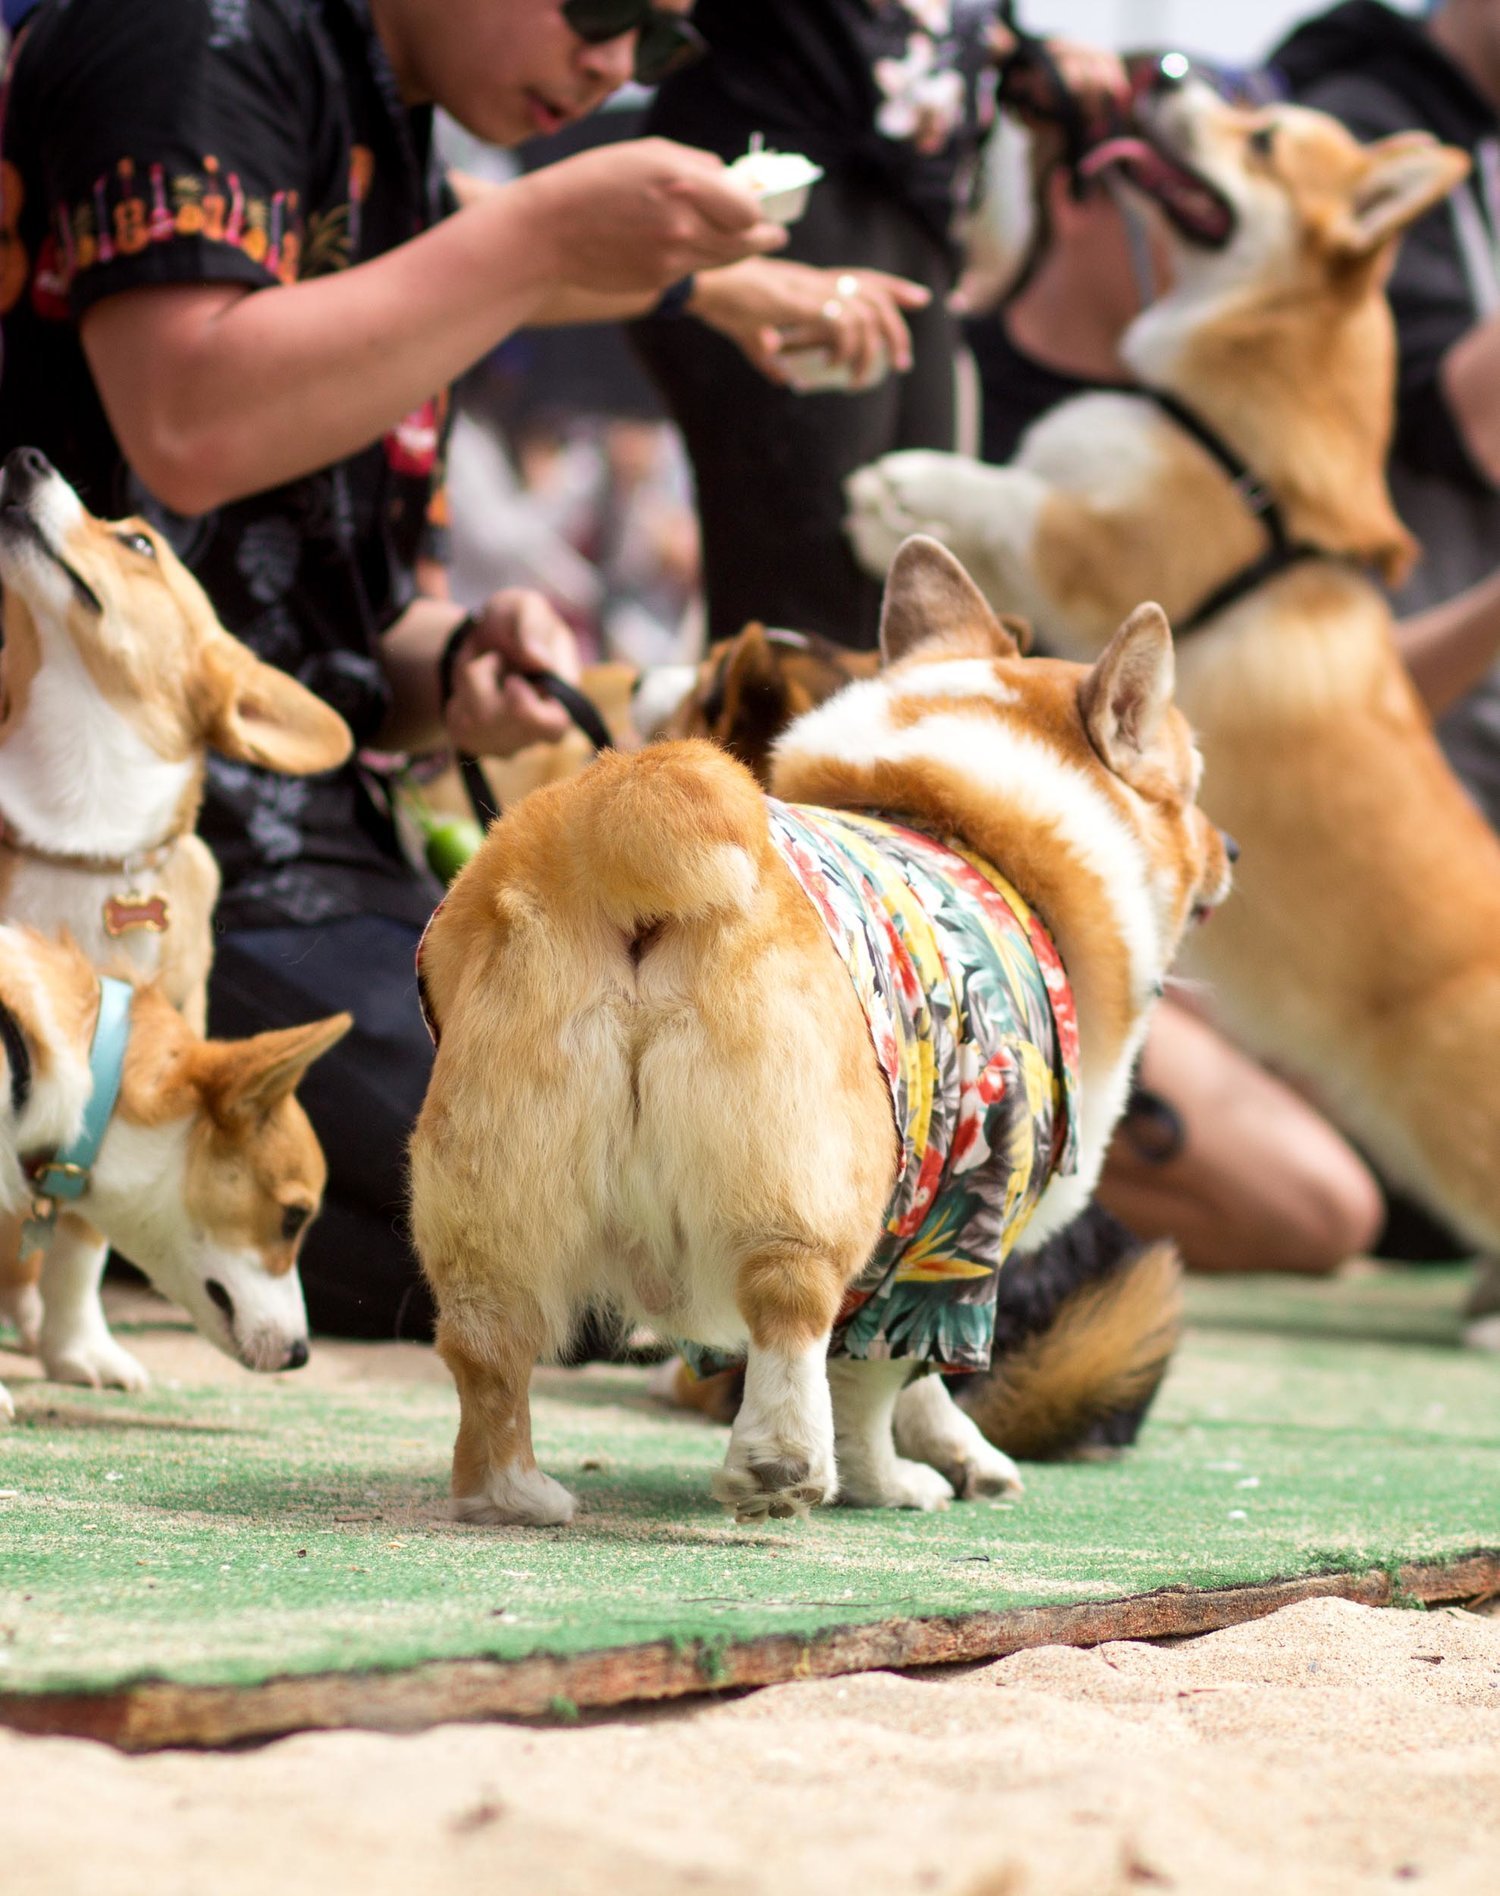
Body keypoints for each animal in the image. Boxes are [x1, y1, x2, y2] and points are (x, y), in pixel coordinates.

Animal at [411, 538, 1228, 1524]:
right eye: (1188, 787)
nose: (1231, 849)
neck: (958, 824)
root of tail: (631, 829)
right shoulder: (946, 1235)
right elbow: (883, 1381)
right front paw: (898, 1481)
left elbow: (921, 1385)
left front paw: (960, 1454)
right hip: (802, 1178)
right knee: (789, 1306)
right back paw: (782, 1470)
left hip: (495, 1191)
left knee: (487, 1343)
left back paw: (514, 1495)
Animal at [845, 89, 1500, 1274]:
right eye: (1250, 110)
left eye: (1262, 137)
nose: (1162, 75)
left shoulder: (1106, 544)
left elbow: (1014, 497)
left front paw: (903, 484)